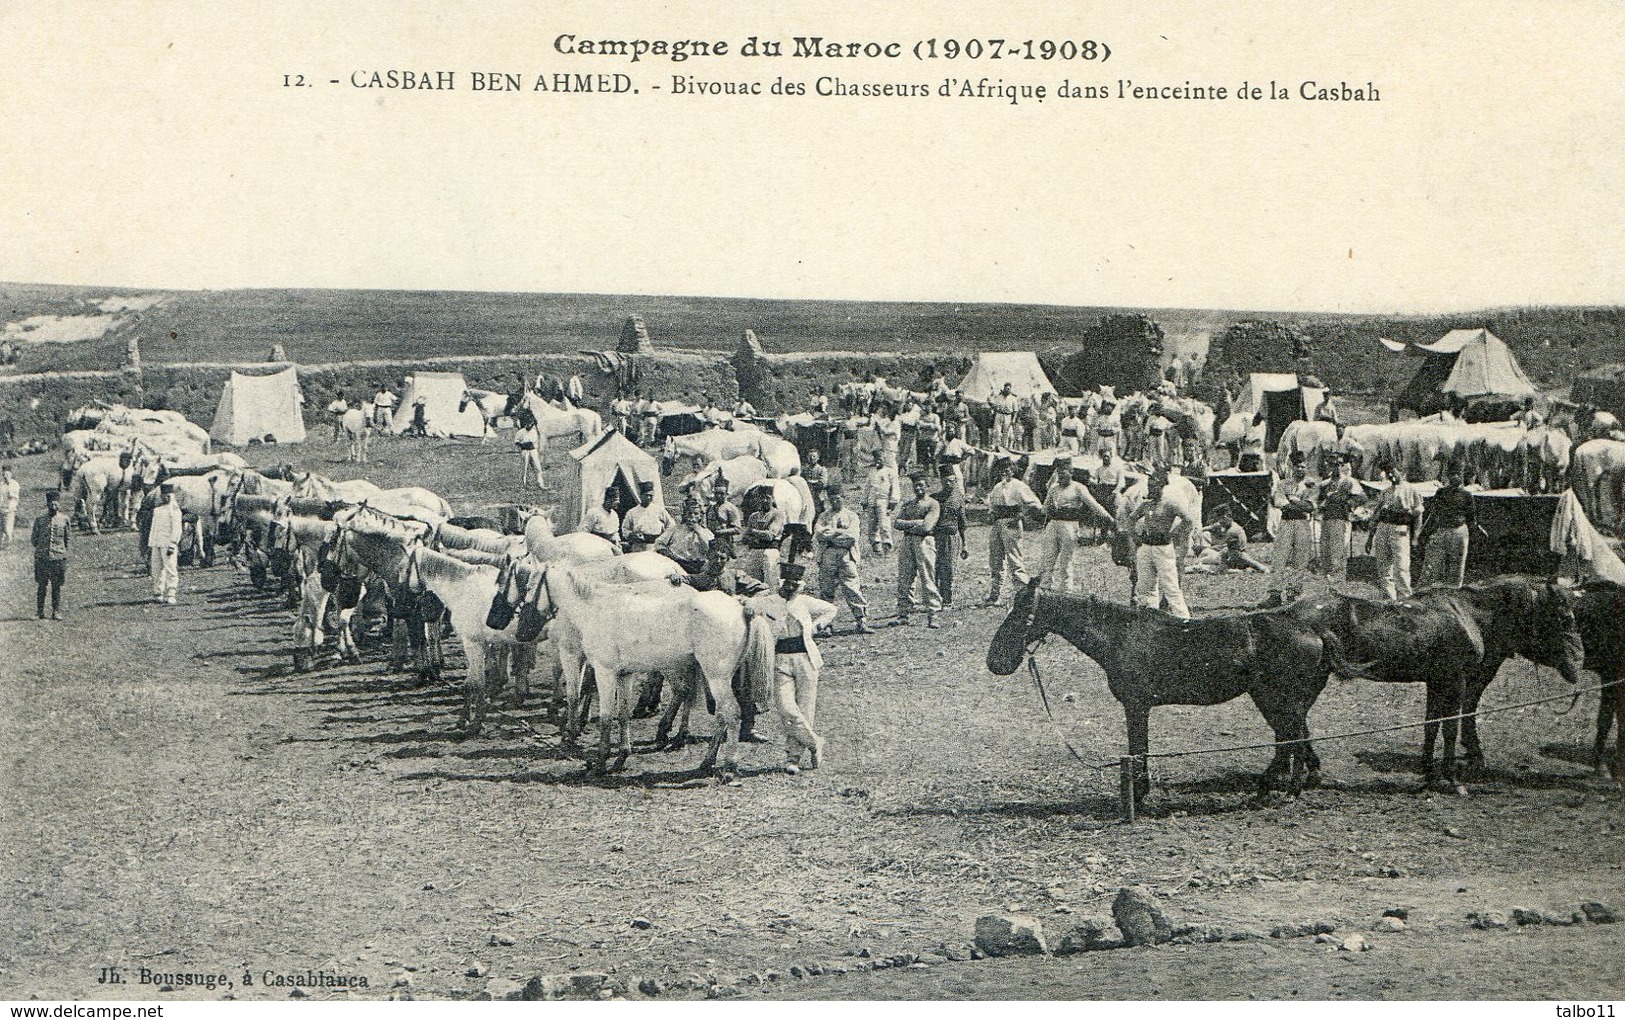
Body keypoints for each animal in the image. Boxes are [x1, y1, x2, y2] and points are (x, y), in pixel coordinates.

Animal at [988, 581, 1358, 805]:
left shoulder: (1136, 706)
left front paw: (1138, 795)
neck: (1122, 634)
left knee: (1291, 738)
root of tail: (1314, 629)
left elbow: (1138, 749)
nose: (995, 660)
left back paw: (1279, 789)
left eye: (1021, 612)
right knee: (1291, 738)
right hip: (1276, 700)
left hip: (1278, 700)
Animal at [1293, 578, 1586, 792]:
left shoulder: (1437, 681)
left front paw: (1429, 773)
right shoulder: (1456, 681)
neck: (1468, 616)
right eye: (1563, 618)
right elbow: (1450, 728)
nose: (1579, 659)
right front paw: (1452, 779)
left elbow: (1431, 726)